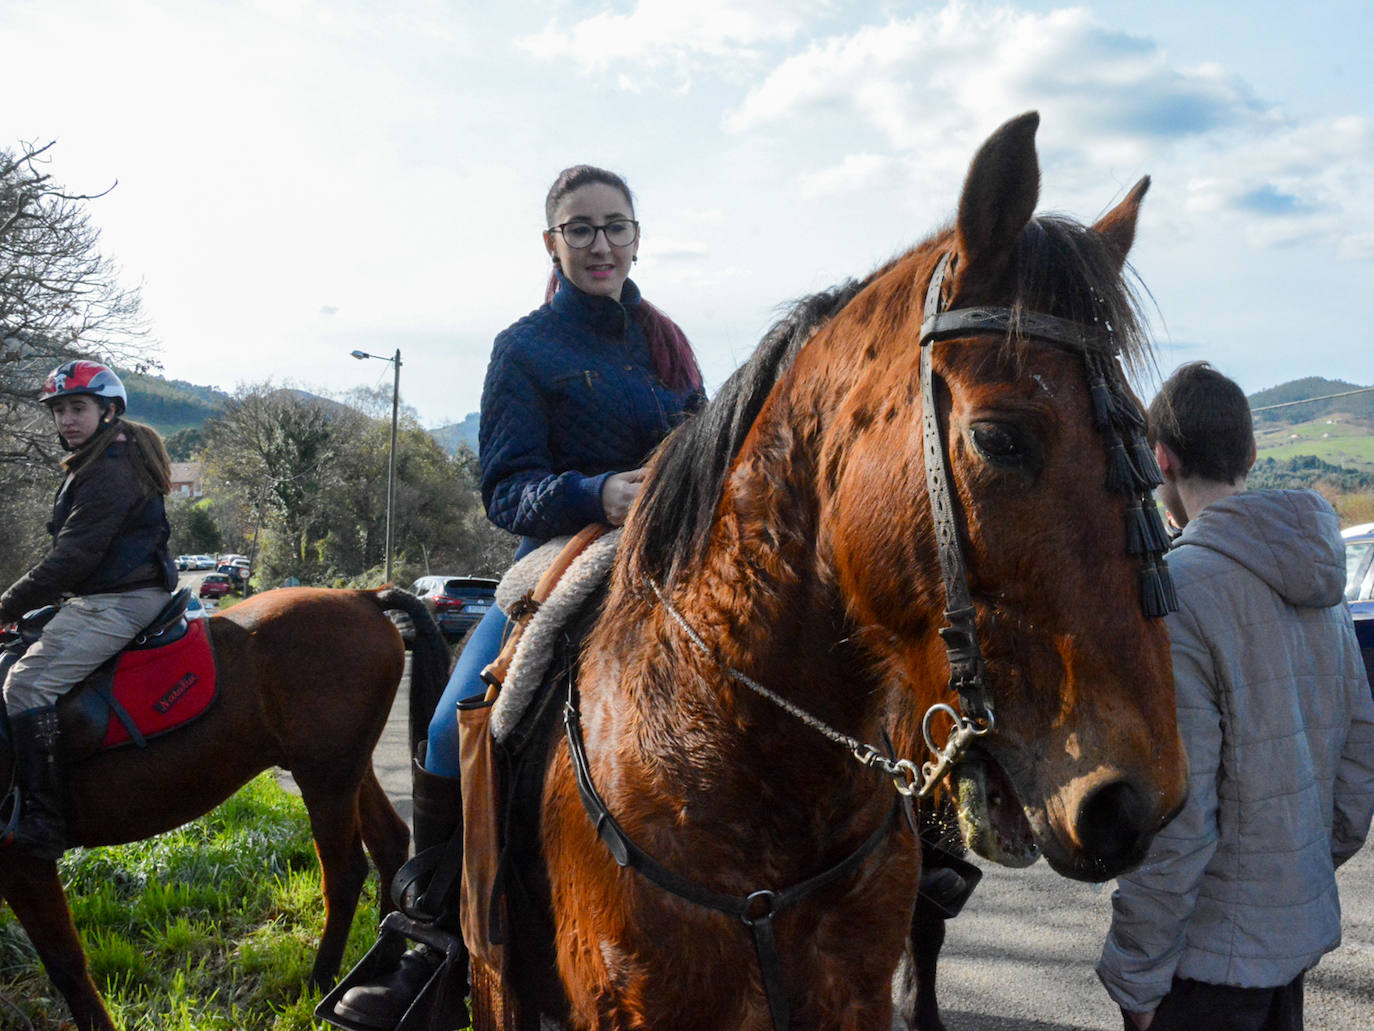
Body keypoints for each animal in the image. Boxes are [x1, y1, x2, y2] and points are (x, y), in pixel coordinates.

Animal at [0, 585, 442, 1028]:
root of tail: (363, 595)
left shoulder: (22, 862)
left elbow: (65, 964)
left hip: (325, 780)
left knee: (345, 874)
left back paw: (320, 982)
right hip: (347, 771)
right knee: (390, 843)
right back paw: (382, 963)